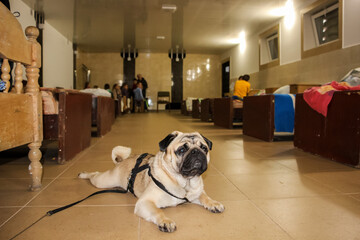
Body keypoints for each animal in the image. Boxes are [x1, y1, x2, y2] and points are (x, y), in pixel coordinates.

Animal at [79, 131, 224, 232]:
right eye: (182, 150)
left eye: (204, 148)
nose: (196, 151)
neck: (184, 182)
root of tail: (123, 160)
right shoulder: (145, 202)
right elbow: (158, 211)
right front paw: (165, 221)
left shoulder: (196, 193)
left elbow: (205, 197)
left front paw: (214, 203)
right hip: (105, 181)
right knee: (95, 175)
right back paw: (83, 174)